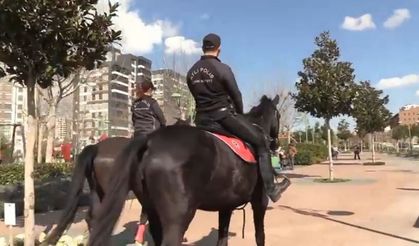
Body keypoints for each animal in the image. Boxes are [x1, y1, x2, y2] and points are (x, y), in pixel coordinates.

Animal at [90, 94, 290, 246]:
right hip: (178, 217)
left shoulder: (225, 205)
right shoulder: (260, 201)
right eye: (279, 115)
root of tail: (149, 141)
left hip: (150, 208)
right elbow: (259, 235)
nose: (276, 143)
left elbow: (223, 238)